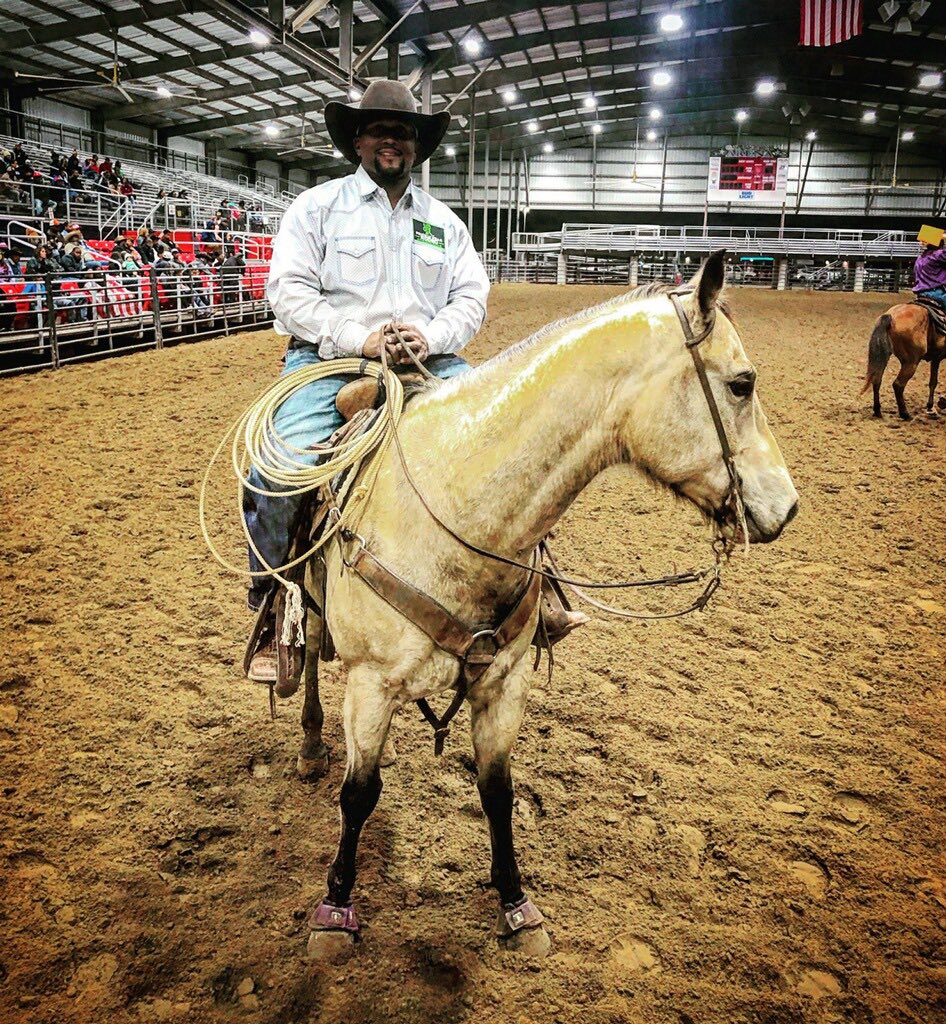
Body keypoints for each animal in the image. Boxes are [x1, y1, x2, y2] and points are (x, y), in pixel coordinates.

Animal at [293, 250, 799, 958]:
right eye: (742, 383)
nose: (788, 506)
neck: (458, 508)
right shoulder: (370, 683)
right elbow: (358, 796)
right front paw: (335, 908)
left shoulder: (503, 683)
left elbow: (496, 792)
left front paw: (515, 903)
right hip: (312, 608)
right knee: (312, 655)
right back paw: (313, 743)